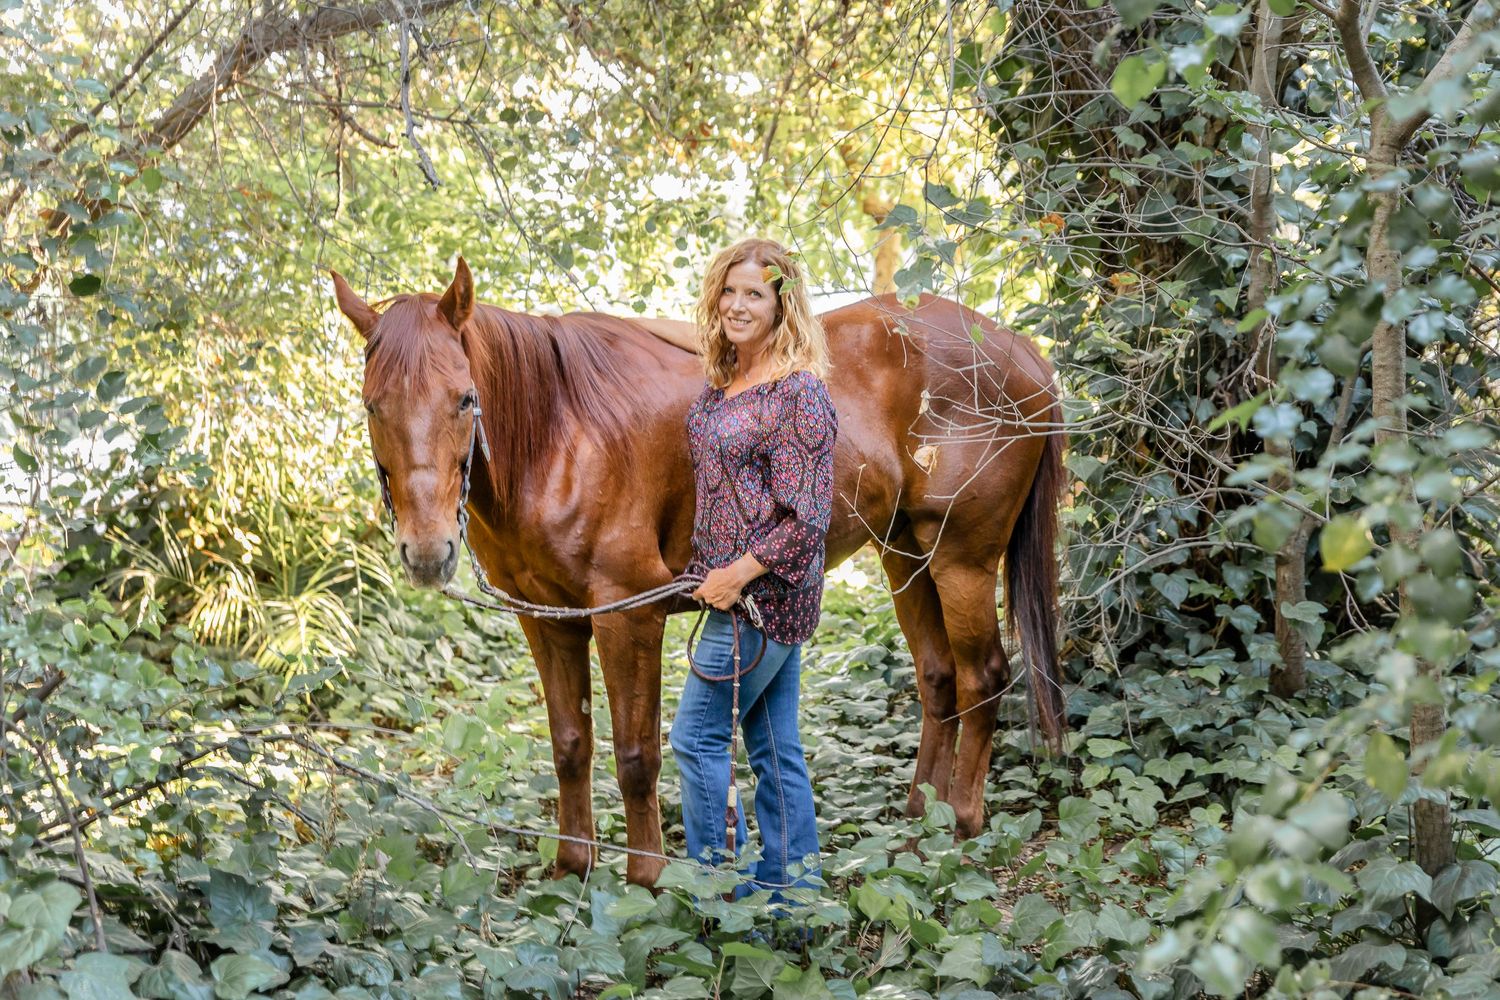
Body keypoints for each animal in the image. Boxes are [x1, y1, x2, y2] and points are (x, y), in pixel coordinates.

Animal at [332, 258, 1065, 886]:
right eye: (372, 405)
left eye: (463, 399)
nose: (427, 551)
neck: (561, 431)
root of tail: (1021, 351)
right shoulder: (546, 620)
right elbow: (570, 744)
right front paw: (572, 868)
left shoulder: (628, 614)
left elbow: (636, 756)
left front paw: (646, 881)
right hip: (905, 555)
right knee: (938, 679)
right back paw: (920, 820)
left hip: (961, 560)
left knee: (983, 677)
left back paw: (962, 823)